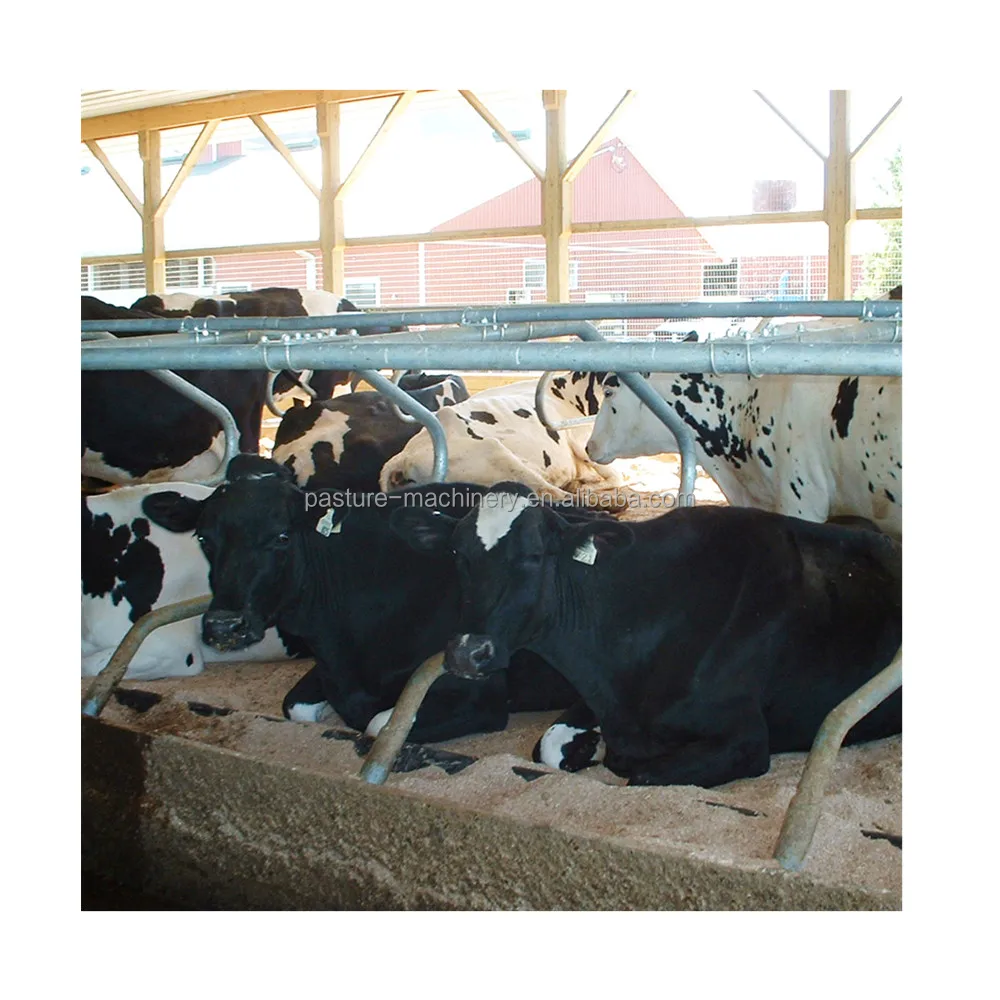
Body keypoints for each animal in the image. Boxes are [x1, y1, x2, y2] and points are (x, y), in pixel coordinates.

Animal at [140, 456, 583, 740]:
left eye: (281, 537)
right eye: (203, 538)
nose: (223, 626)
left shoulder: (479, 696)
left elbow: (376, 724)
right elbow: (294, 707)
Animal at [392, 483, 902, 787]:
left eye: (534, 556)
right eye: (457, 554)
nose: (466, 653)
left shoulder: (746, 739)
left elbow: (638, 772)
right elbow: (552, 744)